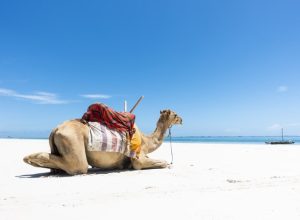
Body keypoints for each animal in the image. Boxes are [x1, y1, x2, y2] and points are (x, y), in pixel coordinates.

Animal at [23, 109, 182, 174]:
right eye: (175, 114)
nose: (182, 119)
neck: (146, 140)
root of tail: (55, 129)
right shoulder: (138, 158)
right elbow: (164, 162)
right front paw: (168, 164)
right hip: (73, 140)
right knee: (78, 166)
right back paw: (31, 158)